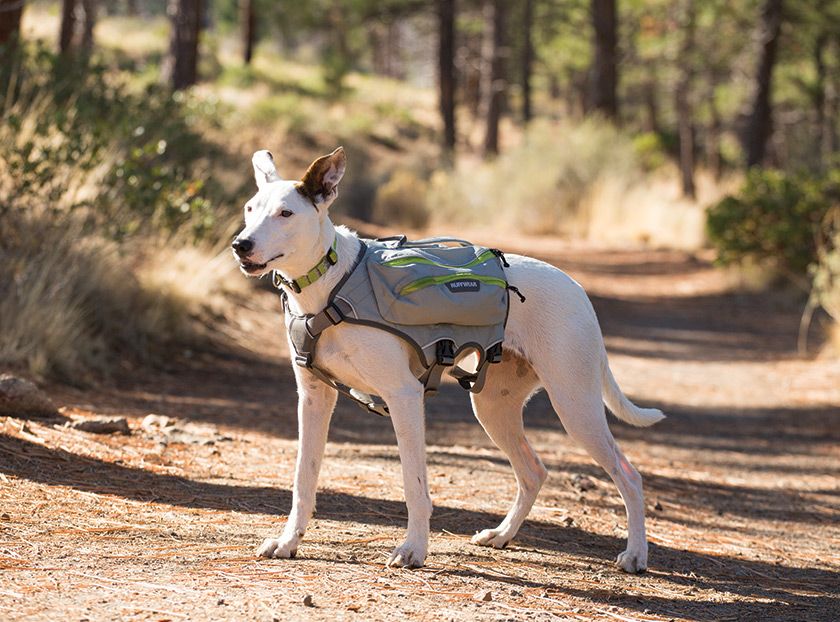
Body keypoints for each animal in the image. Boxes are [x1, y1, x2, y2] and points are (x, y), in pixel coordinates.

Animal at [230, 147, 664, 576]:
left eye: (286, 213)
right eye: (251, 209)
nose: (241, 245)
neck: (330, 284)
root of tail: (577, 289)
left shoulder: (404, 397)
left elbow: (414, 485)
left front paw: (414, 549)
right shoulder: (314, 398)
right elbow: (303, 480)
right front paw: (289, 542)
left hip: (575, 406)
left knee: (629, 475)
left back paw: (636, 555)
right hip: (493, 408)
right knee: (534, 472)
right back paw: (502, 535)